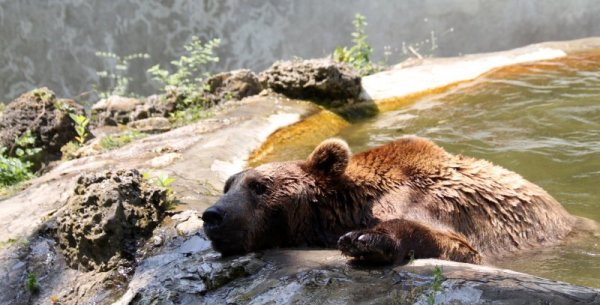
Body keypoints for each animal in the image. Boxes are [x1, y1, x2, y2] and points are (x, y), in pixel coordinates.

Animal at [203, 136, 576, 264]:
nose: (212, 216)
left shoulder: (429, 202)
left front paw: (363, 240)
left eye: (259, 186)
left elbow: (459, 245)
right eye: (228, 185)